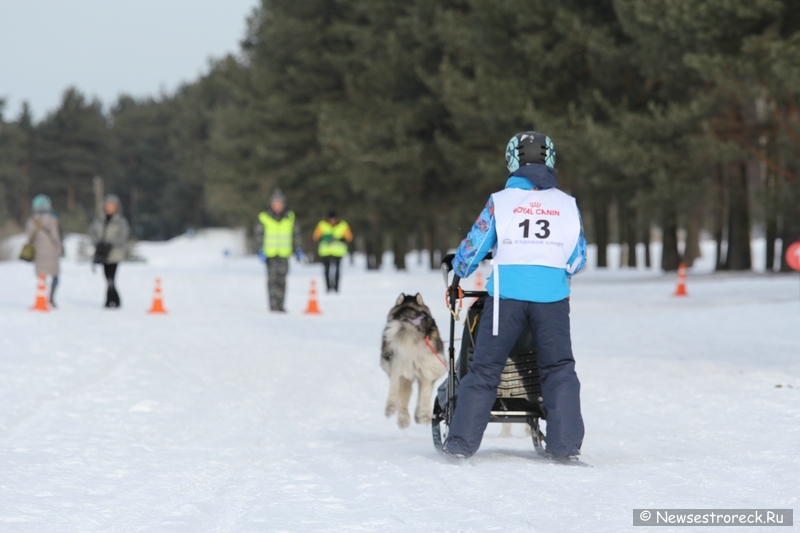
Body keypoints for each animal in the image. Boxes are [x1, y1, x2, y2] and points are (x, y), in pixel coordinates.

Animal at [380, 290, 446, 428]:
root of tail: (412, 323)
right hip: (429, 364)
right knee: (425, 392)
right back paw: (424, 416)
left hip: (399, 363)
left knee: (396, 386)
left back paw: (394, 412)